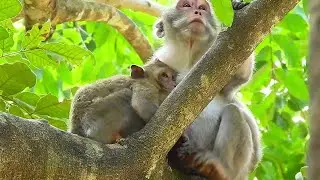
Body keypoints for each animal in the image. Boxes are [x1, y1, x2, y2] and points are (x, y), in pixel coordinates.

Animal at [153, 0, 262, 179]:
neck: (189, 55)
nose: (198, 12)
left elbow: (241, 75)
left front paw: (236, 7)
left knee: (233, 111)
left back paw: (220, 169)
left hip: (242, 166)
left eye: (203, 8)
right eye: (186, 5)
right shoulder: (162, 59)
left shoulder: (217, 57)